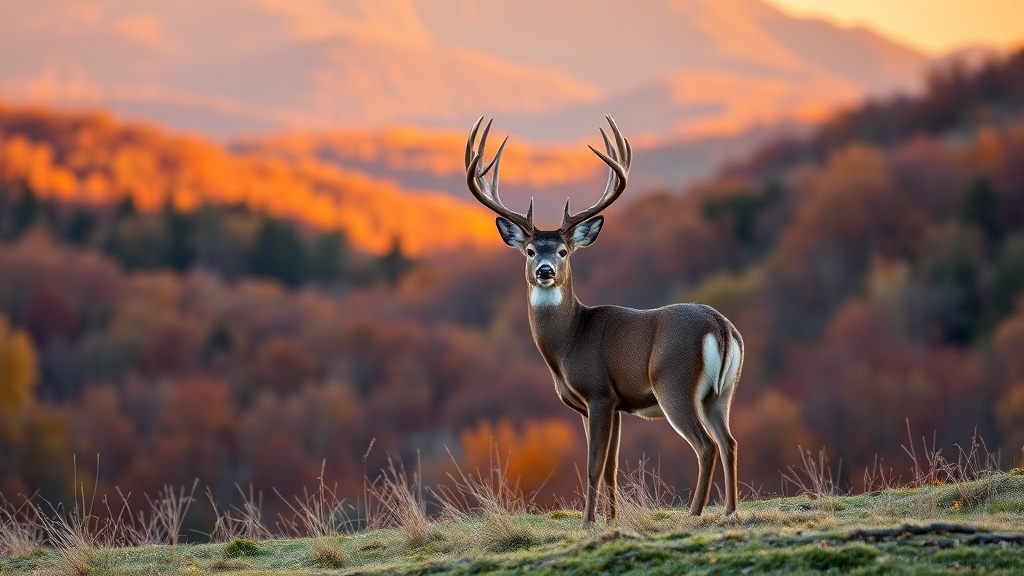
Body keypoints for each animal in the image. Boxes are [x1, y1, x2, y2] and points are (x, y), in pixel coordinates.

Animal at [464, 116, 744, 527]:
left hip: (674, 383)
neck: (568, 343)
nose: (545, 270)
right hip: (721, 394)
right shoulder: (612, 403)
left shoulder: (597, 393)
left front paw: (588, 522)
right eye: (530, 250)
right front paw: (612, 519)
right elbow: (611, 466)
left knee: (706, 446)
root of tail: (721, 328)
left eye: (563, 250)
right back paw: (730, 510)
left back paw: (694, 513)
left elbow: (594, 464)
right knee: (729, 442)